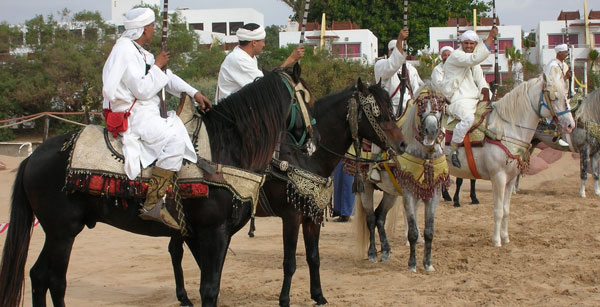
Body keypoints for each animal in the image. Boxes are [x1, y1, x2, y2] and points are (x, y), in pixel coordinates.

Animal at [0, 68, 310, 307]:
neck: (226, 148)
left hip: (56, 232)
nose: (310, 141)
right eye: (305, 96)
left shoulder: (208, 235)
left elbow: (212, 284)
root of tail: (32, 157)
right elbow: (209, 290)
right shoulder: (213, 232)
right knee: (55, 280)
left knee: (38, 276)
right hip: (62, 232)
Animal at [166, 80, 406, 307]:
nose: (402, 144)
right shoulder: (291, 216)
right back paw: (183, 296)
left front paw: (318, 295)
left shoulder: (312, 217)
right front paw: (284, 300)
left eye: (392, 110)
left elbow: (313, 257)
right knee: (176, 251)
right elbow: (290, 262)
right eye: (377, 113)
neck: (306, 156)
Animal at [354, 86, 448, 272]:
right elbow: (413, 232)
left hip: (390, 193)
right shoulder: (409, 194)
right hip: (366, 188)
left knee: (380, 217)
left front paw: (428, 264)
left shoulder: (434, 194)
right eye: (421, 105)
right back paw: (373, 253)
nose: (431, 131)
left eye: (440, 105)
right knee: (371, 218)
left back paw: (386, 251)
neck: (425, 155)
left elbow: (429, 232)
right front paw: (412, 264)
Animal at [450, 74, 572, 248]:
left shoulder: (510, 179)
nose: (570, 125)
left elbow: (506, 210)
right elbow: (498, 211)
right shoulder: (498, 178)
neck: (505, 130)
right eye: (553, 96)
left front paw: (505, 237)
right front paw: (496, 240)